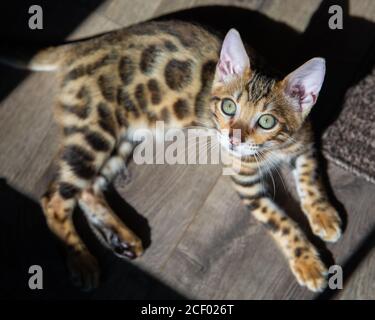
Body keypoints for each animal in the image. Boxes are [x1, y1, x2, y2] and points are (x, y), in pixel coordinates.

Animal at [1, 20, 342, 292]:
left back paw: (121, 238)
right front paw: (308, 263)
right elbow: (280, 222)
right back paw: (81, 260)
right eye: (228, 106)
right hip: (95, 132)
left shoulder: (305, 142)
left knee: (89, 188)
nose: (233, 138)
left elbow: (311, 178)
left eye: (267, 121)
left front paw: (323, 215)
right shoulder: (244, 181)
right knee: (55, 198)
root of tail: (84, 47)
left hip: (125, 138)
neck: (273, 149)